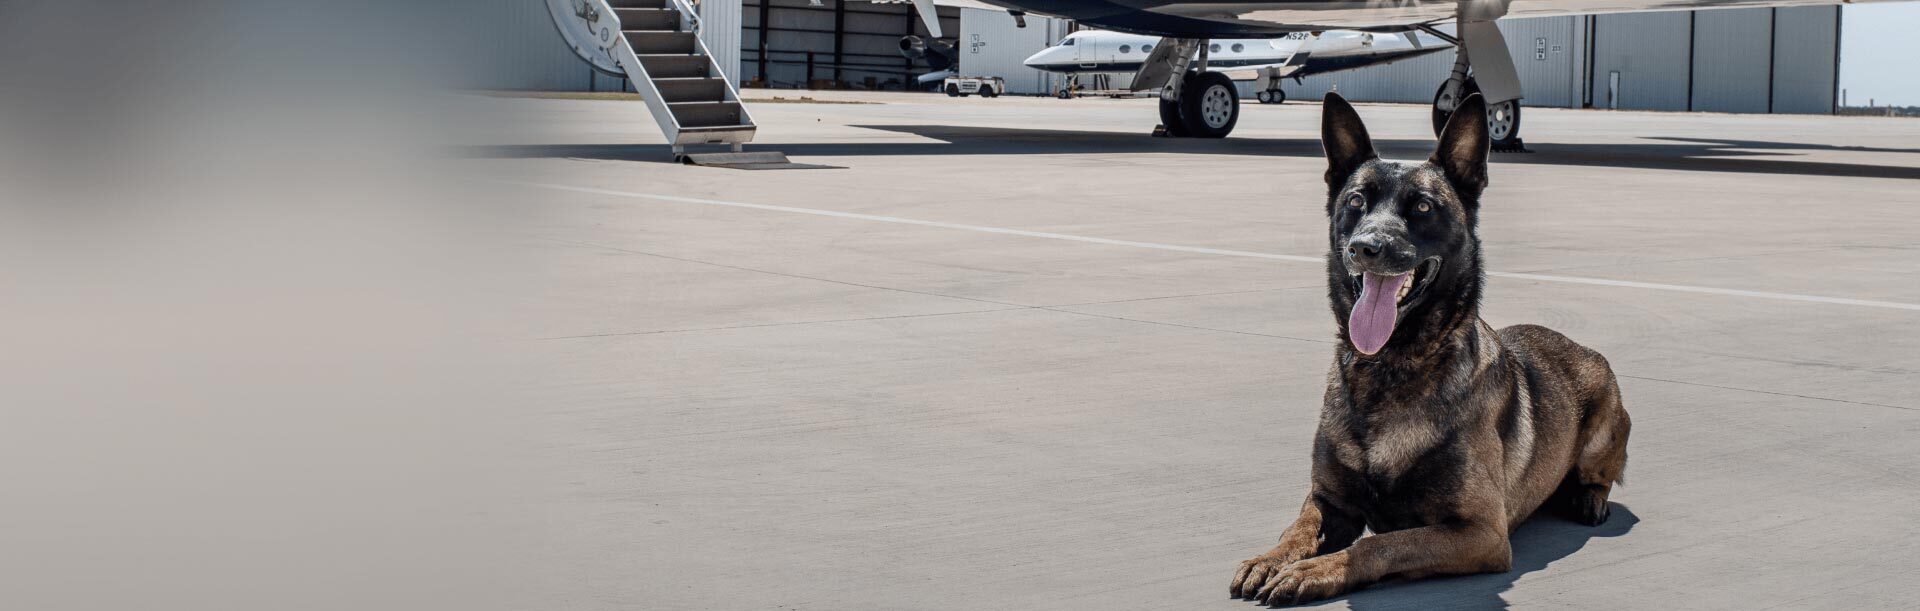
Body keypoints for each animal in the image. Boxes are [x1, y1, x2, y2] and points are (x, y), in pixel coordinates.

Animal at [1228, 93, 1632, 606]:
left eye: (1422, 206)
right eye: (1356, 202)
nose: (1366, 247)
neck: (1389, 369)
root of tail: (1577, 345)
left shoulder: (1480, 534)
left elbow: (1377, 545)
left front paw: (1313, 571)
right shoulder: (1328, 501)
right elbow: (1296, 530)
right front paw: (1271, 558)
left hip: (1606, 423)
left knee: (1600, 477)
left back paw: (1586, 498)